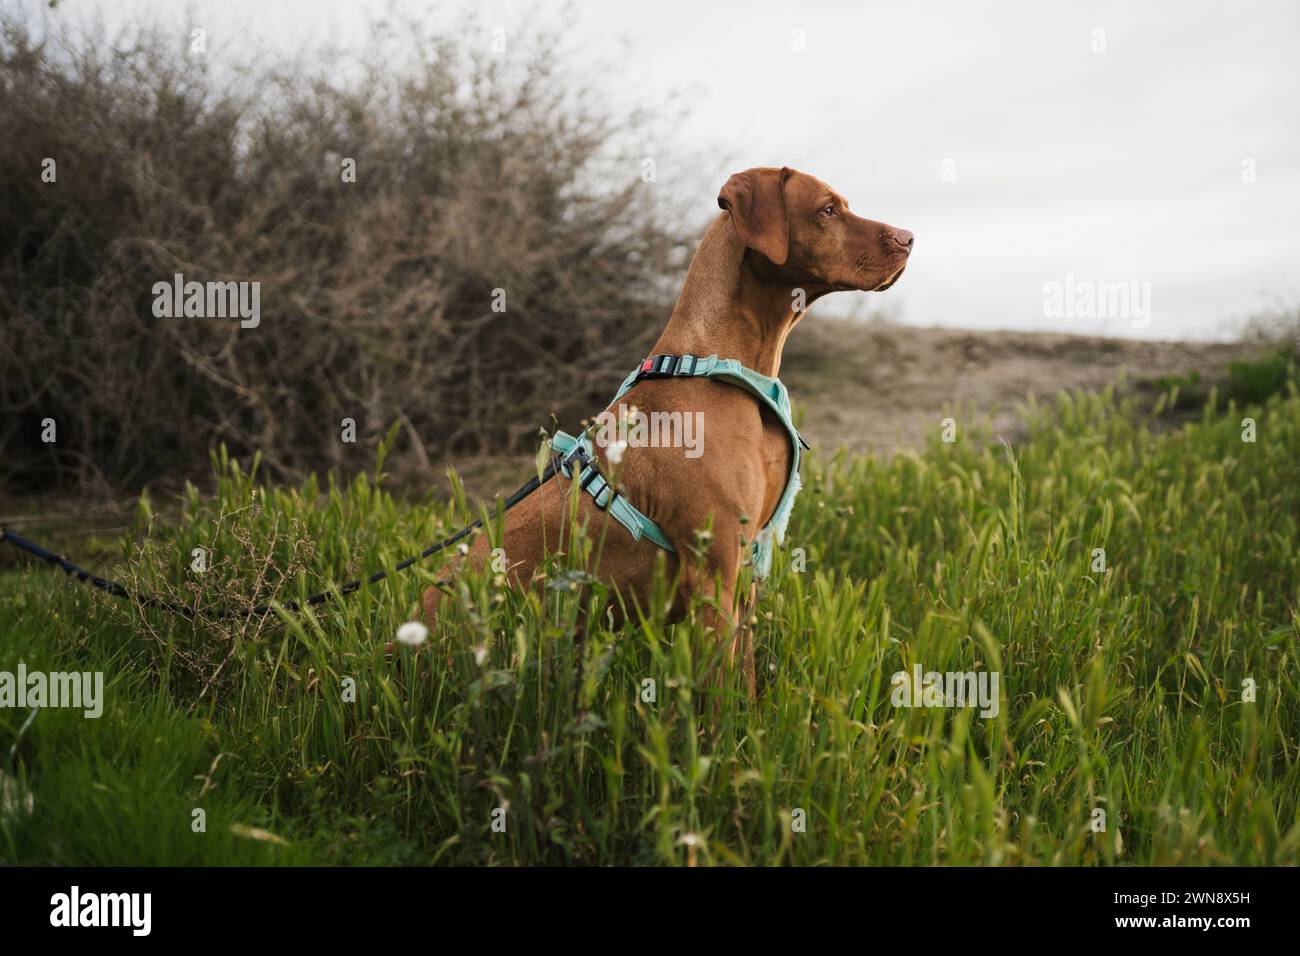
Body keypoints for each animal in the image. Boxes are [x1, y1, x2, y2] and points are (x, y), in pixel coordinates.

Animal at [421, 166, 909, 697]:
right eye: (827, 209)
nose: (909, 238)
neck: (723, 364)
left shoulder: (745, 569)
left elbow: (745, 681)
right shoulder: (714, 571)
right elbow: (718, 696)